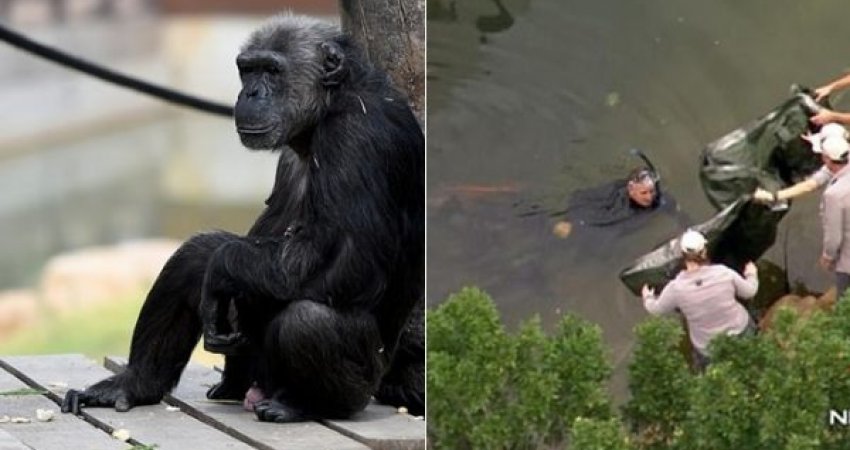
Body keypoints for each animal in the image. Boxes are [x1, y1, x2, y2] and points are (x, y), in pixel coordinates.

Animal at [63, 14, 424, 422]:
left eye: (272, 70)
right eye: (247, 69)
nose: (250, 93)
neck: (325, 110)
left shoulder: (354, 139)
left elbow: (344, 261)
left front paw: (220, 270)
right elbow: (254, 244)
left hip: (361, 386)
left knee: (308, 321)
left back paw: (301, 404)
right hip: (251, 368)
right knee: (195, 255)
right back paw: (134, 384)